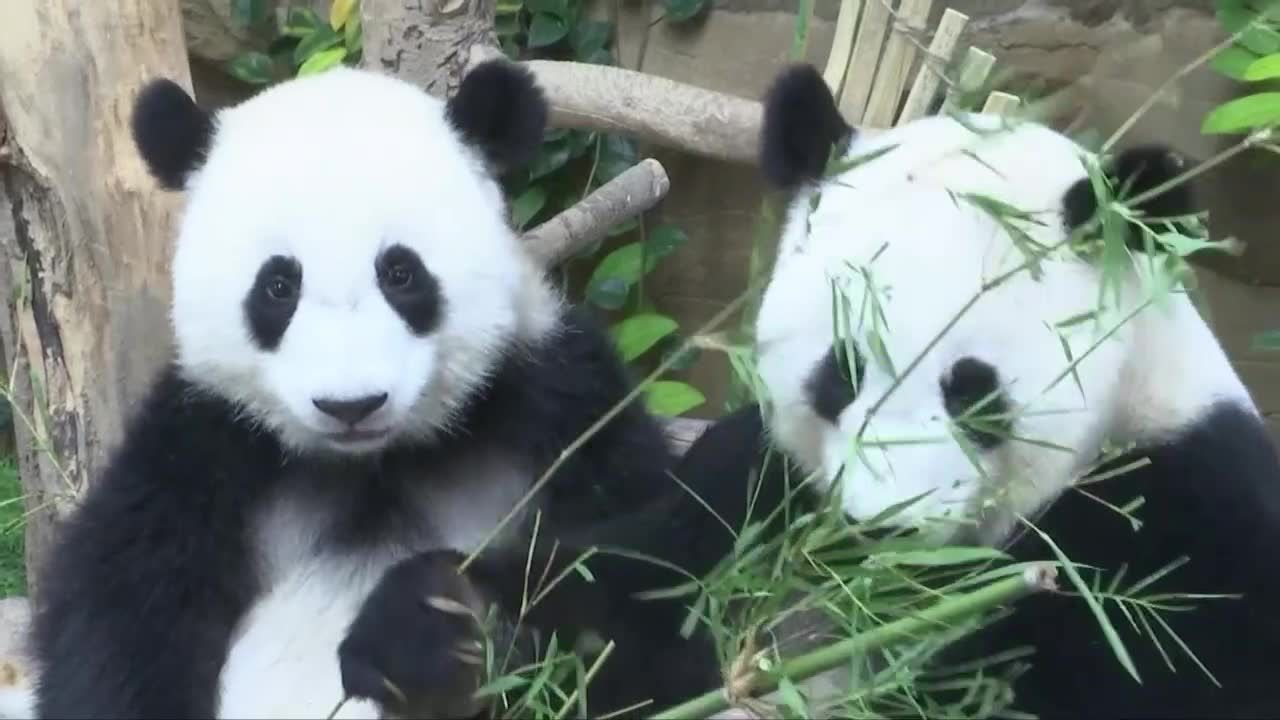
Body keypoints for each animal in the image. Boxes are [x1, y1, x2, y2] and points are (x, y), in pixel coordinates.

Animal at [20, 61, 752, 717]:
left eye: (401, 273)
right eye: (278, 286)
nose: (352, 406)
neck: (377, 461)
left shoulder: (558, 408)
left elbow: (648, 613)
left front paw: (427, 626)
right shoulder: (204, 448)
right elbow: (116, 617)